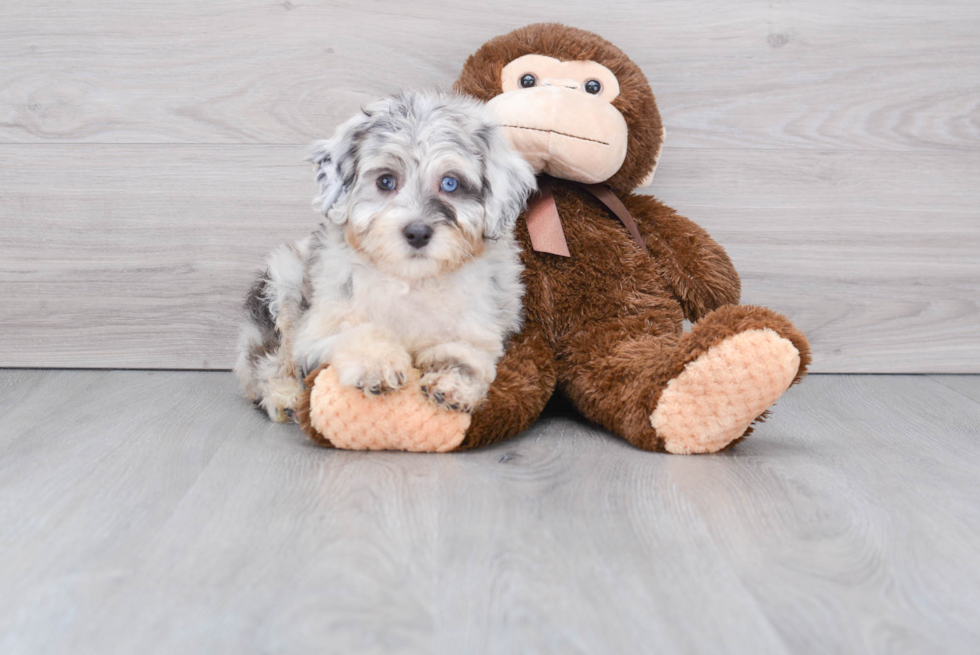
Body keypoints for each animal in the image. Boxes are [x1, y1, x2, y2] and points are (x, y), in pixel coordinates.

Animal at [236, 89, 536, 422]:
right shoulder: (317, 329)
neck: (412, 281)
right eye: (385, 181)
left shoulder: (481, 327)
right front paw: (377, 365)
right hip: (283, 283)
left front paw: (454, 384)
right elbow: (358, 333)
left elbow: (466, 354)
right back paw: (283, 396)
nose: (417, 233)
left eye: (450, 183)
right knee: (266, 358)